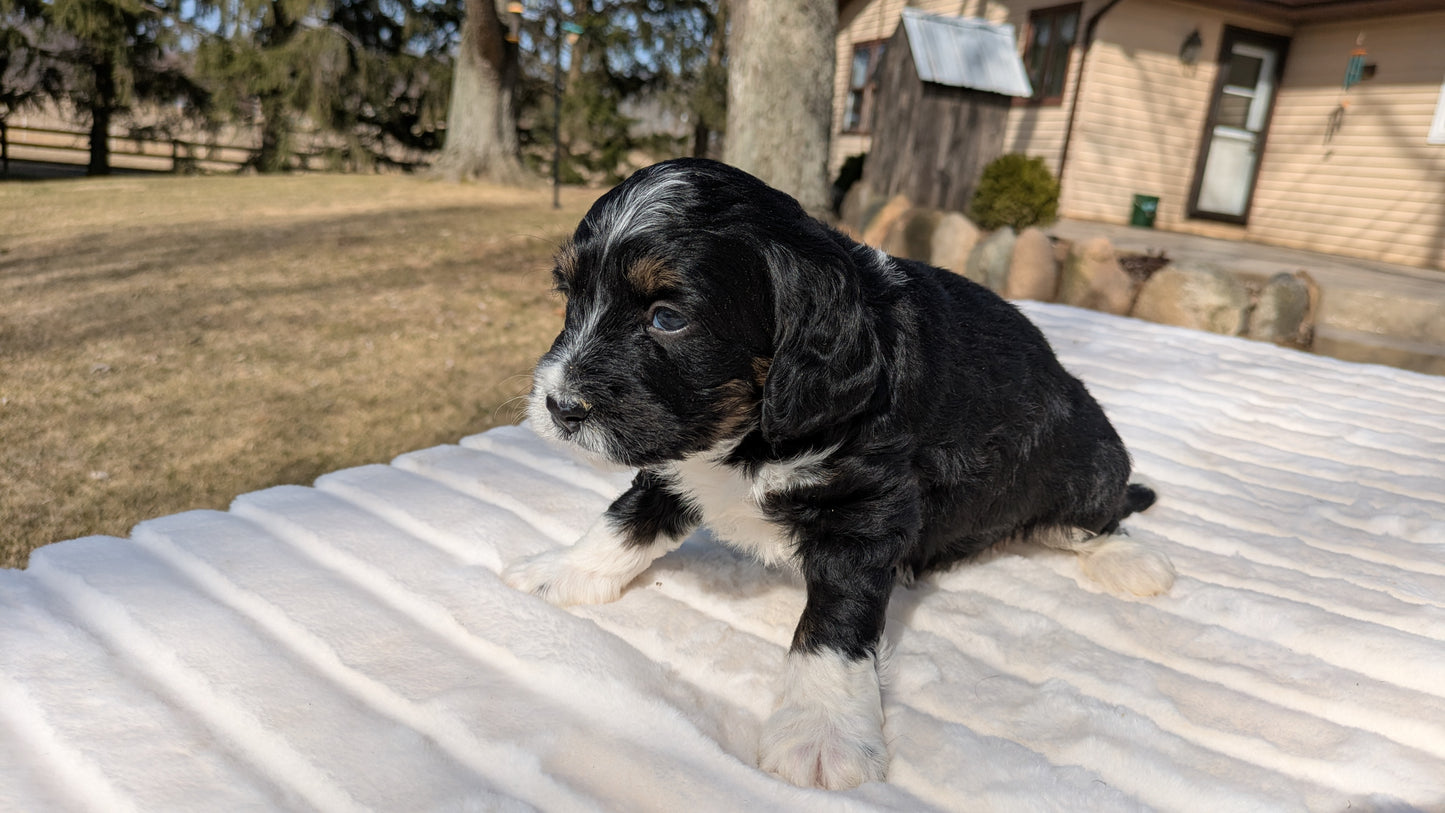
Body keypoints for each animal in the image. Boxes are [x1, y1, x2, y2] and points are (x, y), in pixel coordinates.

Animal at [499, 157, 1173, 791]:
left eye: (667, 317)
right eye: (570, 296)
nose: (559, 406)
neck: (757, 424)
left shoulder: (864, 510)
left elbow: (833, 624)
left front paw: (821, 733)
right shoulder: (678, 458)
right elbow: (625, 519)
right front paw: (560, 570)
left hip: (1086, 458)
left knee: (1101, 513)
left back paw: (1132, 563)